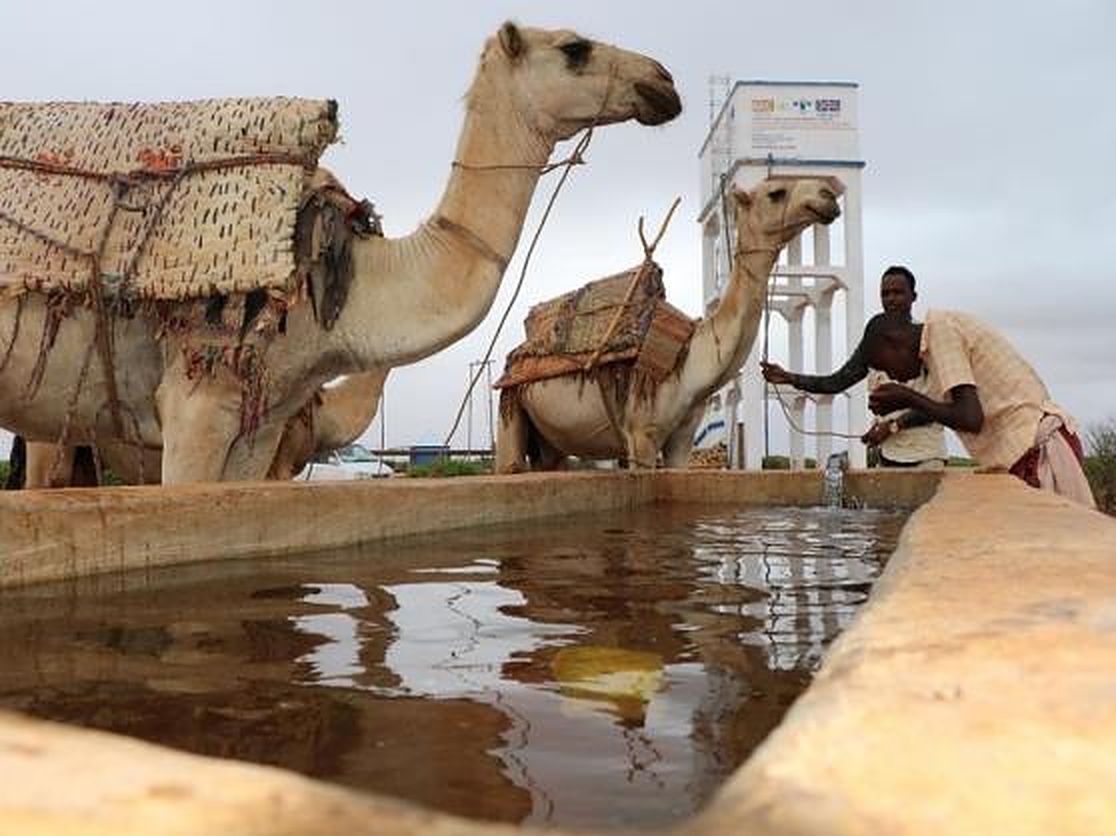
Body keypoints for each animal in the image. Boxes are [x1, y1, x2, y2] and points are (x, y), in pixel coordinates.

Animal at [495, 176, 843, 472]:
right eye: (776, 192)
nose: (828, 195)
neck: (689, 357)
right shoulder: (640, 434)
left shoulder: (683, 438)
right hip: (509, 407)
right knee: (510, 464)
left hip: (549, 441)